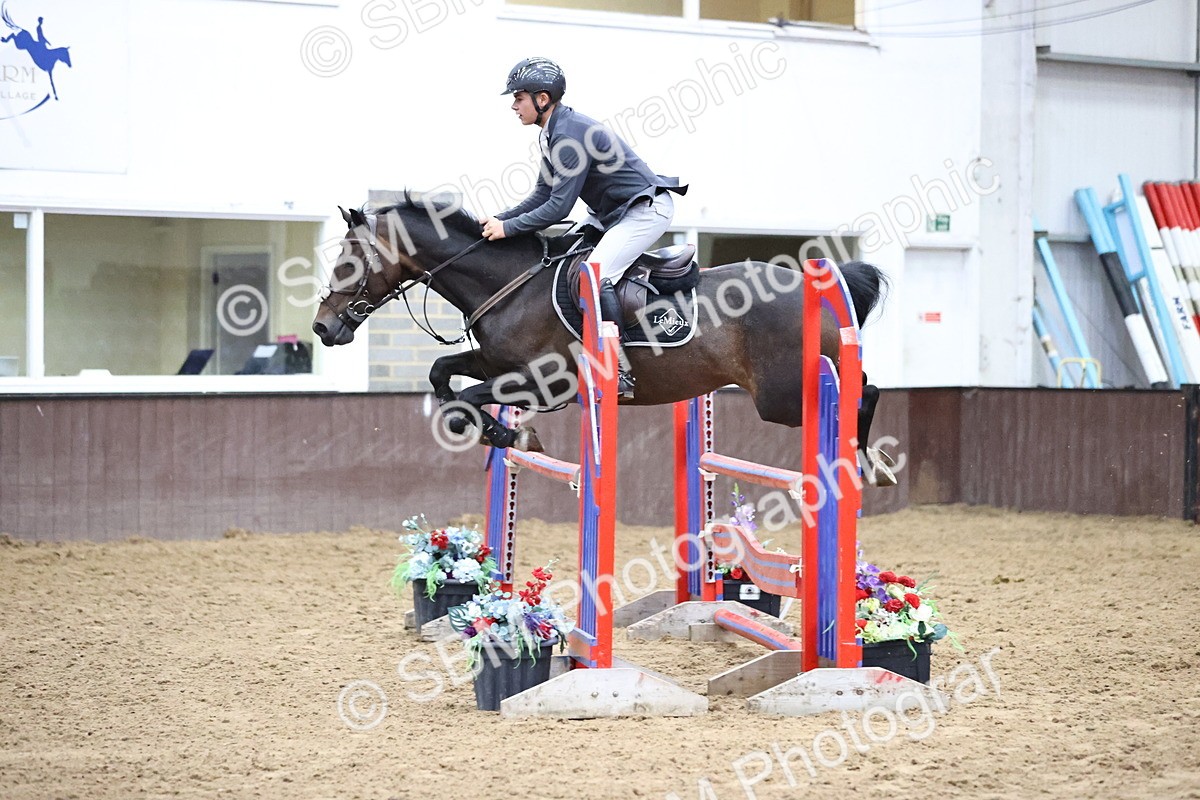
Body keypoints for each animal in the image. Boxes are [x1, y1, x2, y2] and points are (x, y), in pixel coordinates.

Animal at [312, 194, 894, 484]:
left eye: (349, 260)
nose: (322, 327)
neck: (509, 283)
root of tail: (818, 284)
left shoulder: (546, 383)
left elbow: (466, 402)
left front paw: (511, 435)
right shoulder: (498, 364)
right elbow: (442, 376)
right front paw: (507, 435)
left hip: (783, 395)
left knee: (860, 391)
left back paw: (869, 465)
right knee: (864, 385)